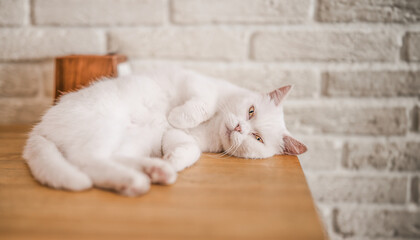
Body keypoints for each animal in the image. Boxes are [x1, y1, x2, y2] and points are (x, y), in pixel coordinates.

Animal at [23, 68, 306, 196]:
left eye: (257, 138)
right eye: (250, 111)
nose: (239, 127)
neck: (213, 126)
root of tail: (40, 128)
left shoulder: (179, 138)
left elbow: (188, 150)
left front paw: (173, 160)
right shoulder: (197, 83)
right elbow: (203, 104)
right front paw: (178, 116)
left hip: (125, 141)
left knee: (98, 161)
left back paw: (154, 172)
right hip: (106, 127)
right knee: (86, 161)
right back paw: (138, 179)